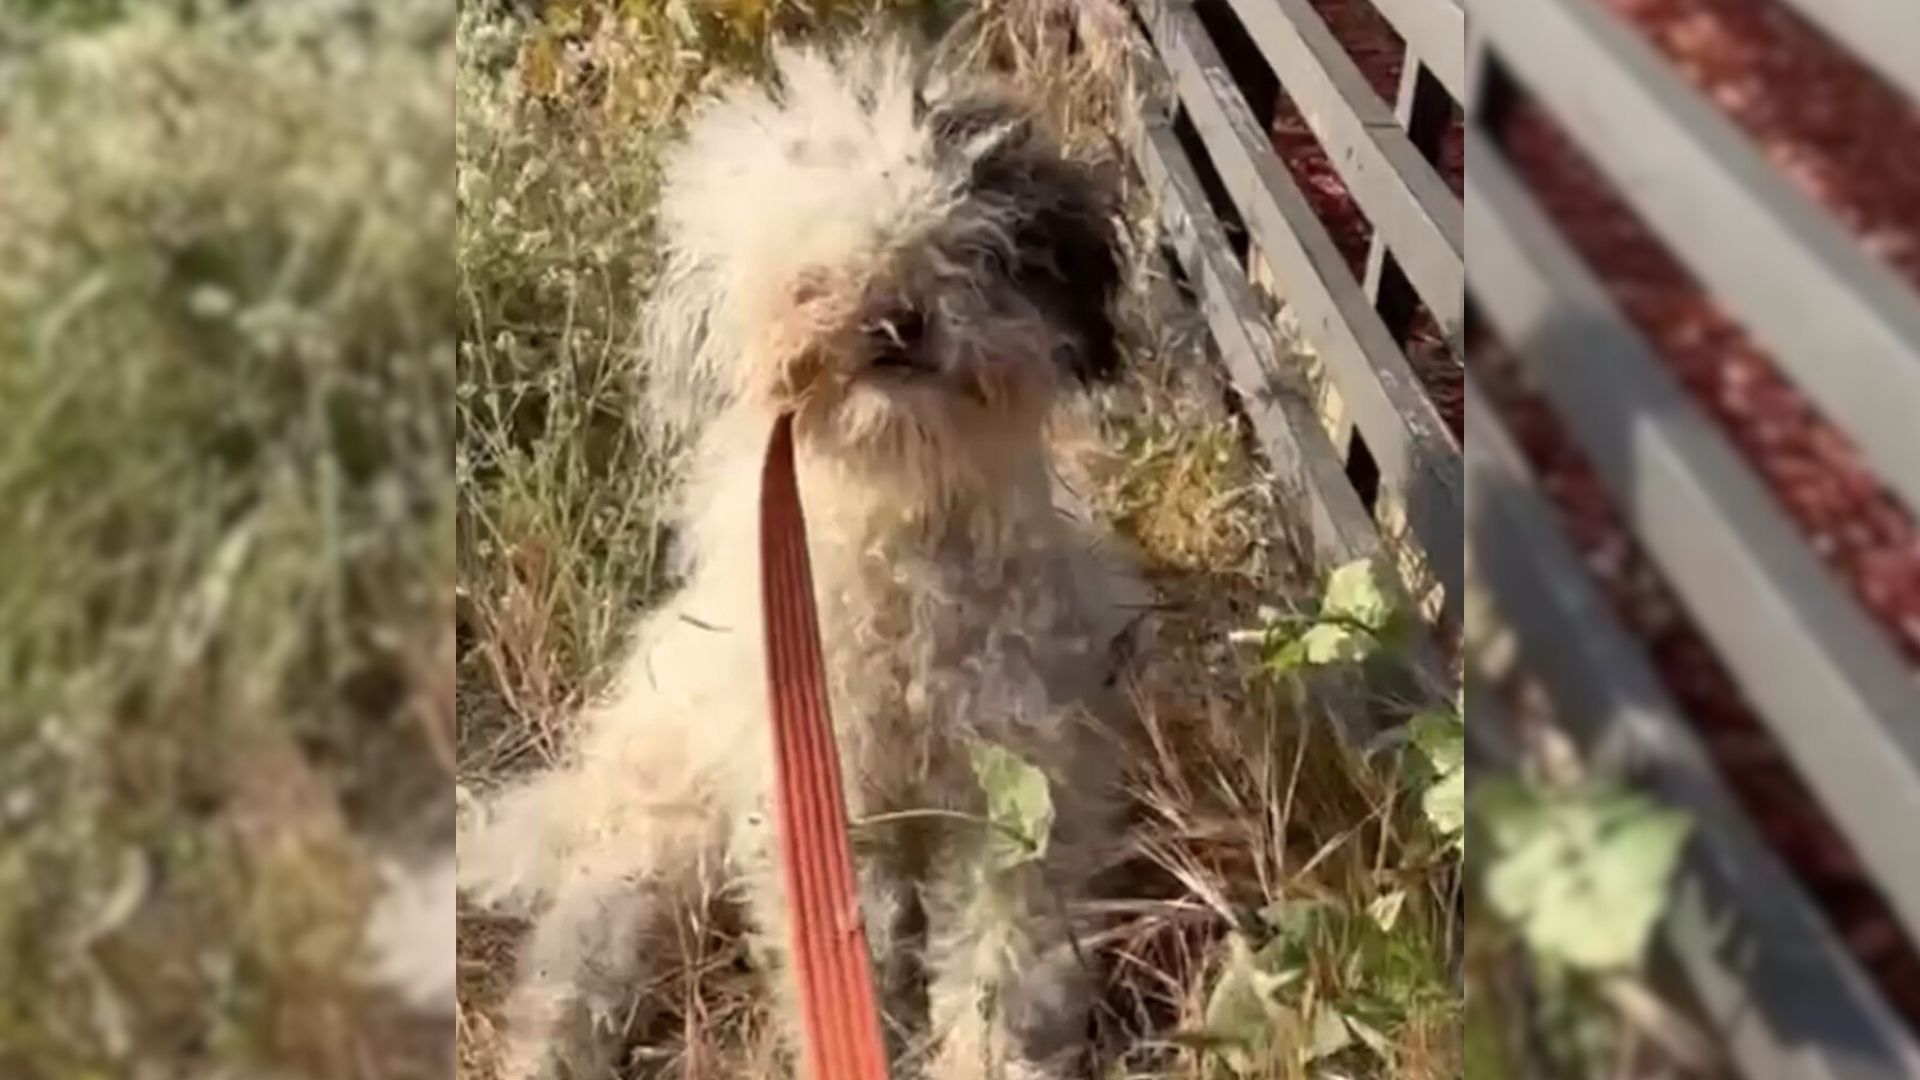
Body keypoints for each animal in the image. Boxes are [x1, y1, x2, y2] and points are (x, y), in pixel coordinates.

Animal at [464, 33, 1144, 1076]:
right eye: (808, 270)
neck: (898, 528)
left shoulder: (1018, 789)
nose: (893, 317)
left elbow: (1003, 963)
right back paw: (556, 1044)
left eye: (972, 240)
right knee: (582, 937)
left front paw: (982, 1054)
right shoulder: (816, 807)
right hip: (658, 821)